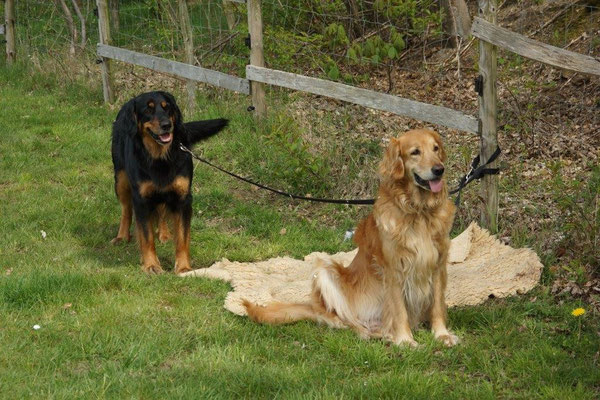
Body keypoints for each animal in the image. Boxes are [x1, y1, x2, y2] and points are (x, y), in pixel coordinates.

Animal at [110, 90, 227, 274]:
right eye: (148, 109)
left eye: (167, 108)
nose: (166, 125)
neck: (160, 157)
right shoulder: (141, 199)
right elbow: (146, 237)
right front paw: (151, 265)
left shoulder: (183, 198)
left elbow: (182, 237)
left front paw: (184, 268)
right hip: (121, 178)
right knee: (126, 209)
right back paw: (122, 236)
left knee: (162, 210)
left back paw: (164, 234)